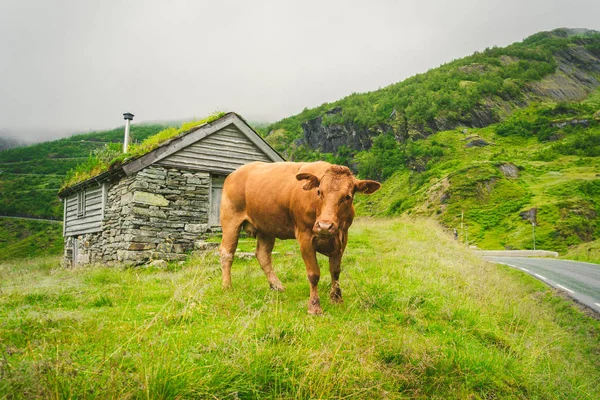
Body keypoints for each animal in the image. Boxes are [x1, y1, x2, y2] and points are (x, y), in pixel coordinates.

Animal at [220, 161, 380, 314]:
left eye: (347, 197)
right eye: (319, 192)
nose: (324, 226)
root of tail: (235, 172)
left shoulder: (342, 238)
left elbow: (335, 271)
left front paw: (337, 299)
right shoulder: (305, 236)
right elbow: (314, 274)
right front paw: (314, 307)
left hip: (266, 227)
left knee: (263, 255)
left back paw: (276, 286)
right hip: (231, 219)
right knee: (227, 253)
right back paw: (227, 286)